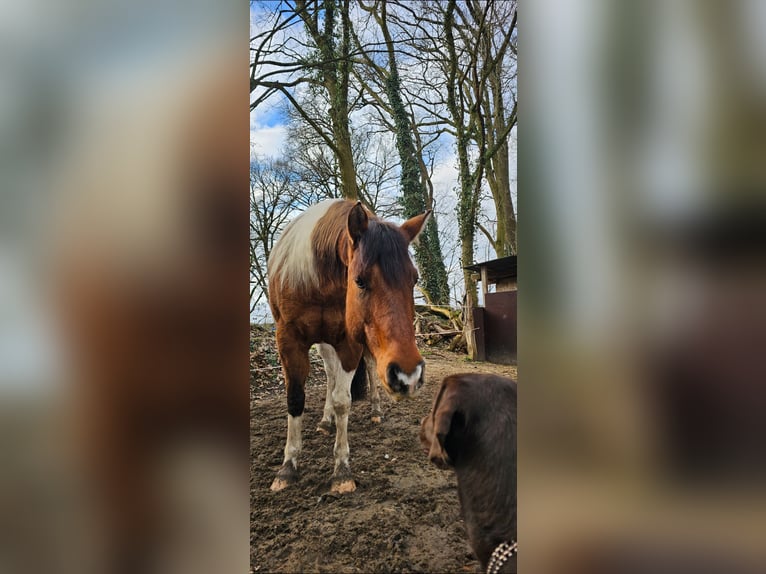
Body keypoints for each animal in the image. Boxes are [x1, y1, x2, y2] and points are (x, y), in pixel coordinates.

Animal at [267, 199, 429, 493]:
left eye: (414, 279)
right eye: (360, 280)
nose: (408, 375)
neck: (318, 277)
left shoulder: (349, 342)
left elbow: (343, 401)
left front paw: (341, 470)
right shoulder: (288, 340)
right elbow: (295, 398)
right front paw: (287, 467)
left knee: (367, 369)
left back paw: (375, 411)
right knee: (330, 375)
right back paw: (325, 421)